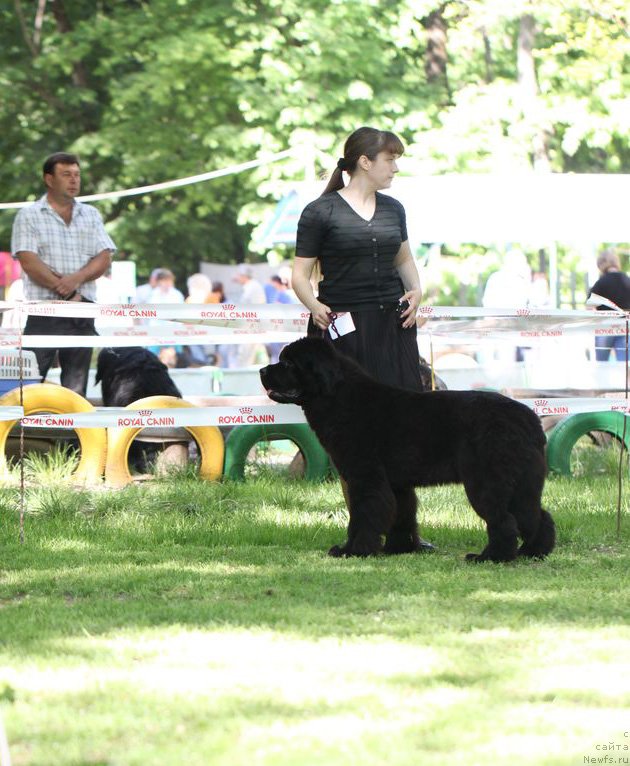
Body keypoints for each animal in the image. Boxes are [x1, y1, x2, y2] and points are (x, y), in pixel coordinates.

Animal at [262, 340, 556, 564]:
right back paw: (533, 552)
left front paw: (353, 550)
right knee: (536, 515)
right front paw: (398, 548)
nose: (263, 369)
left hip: (486, 481)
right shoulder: (396, 484)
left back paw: (491, 557)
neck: (339, 397)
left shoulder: (366, 478)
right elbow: (401, 514)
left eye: (288, 364)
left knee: (504, 520)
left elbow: (362, 516)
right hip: (522, 483)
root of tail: (529, 419)